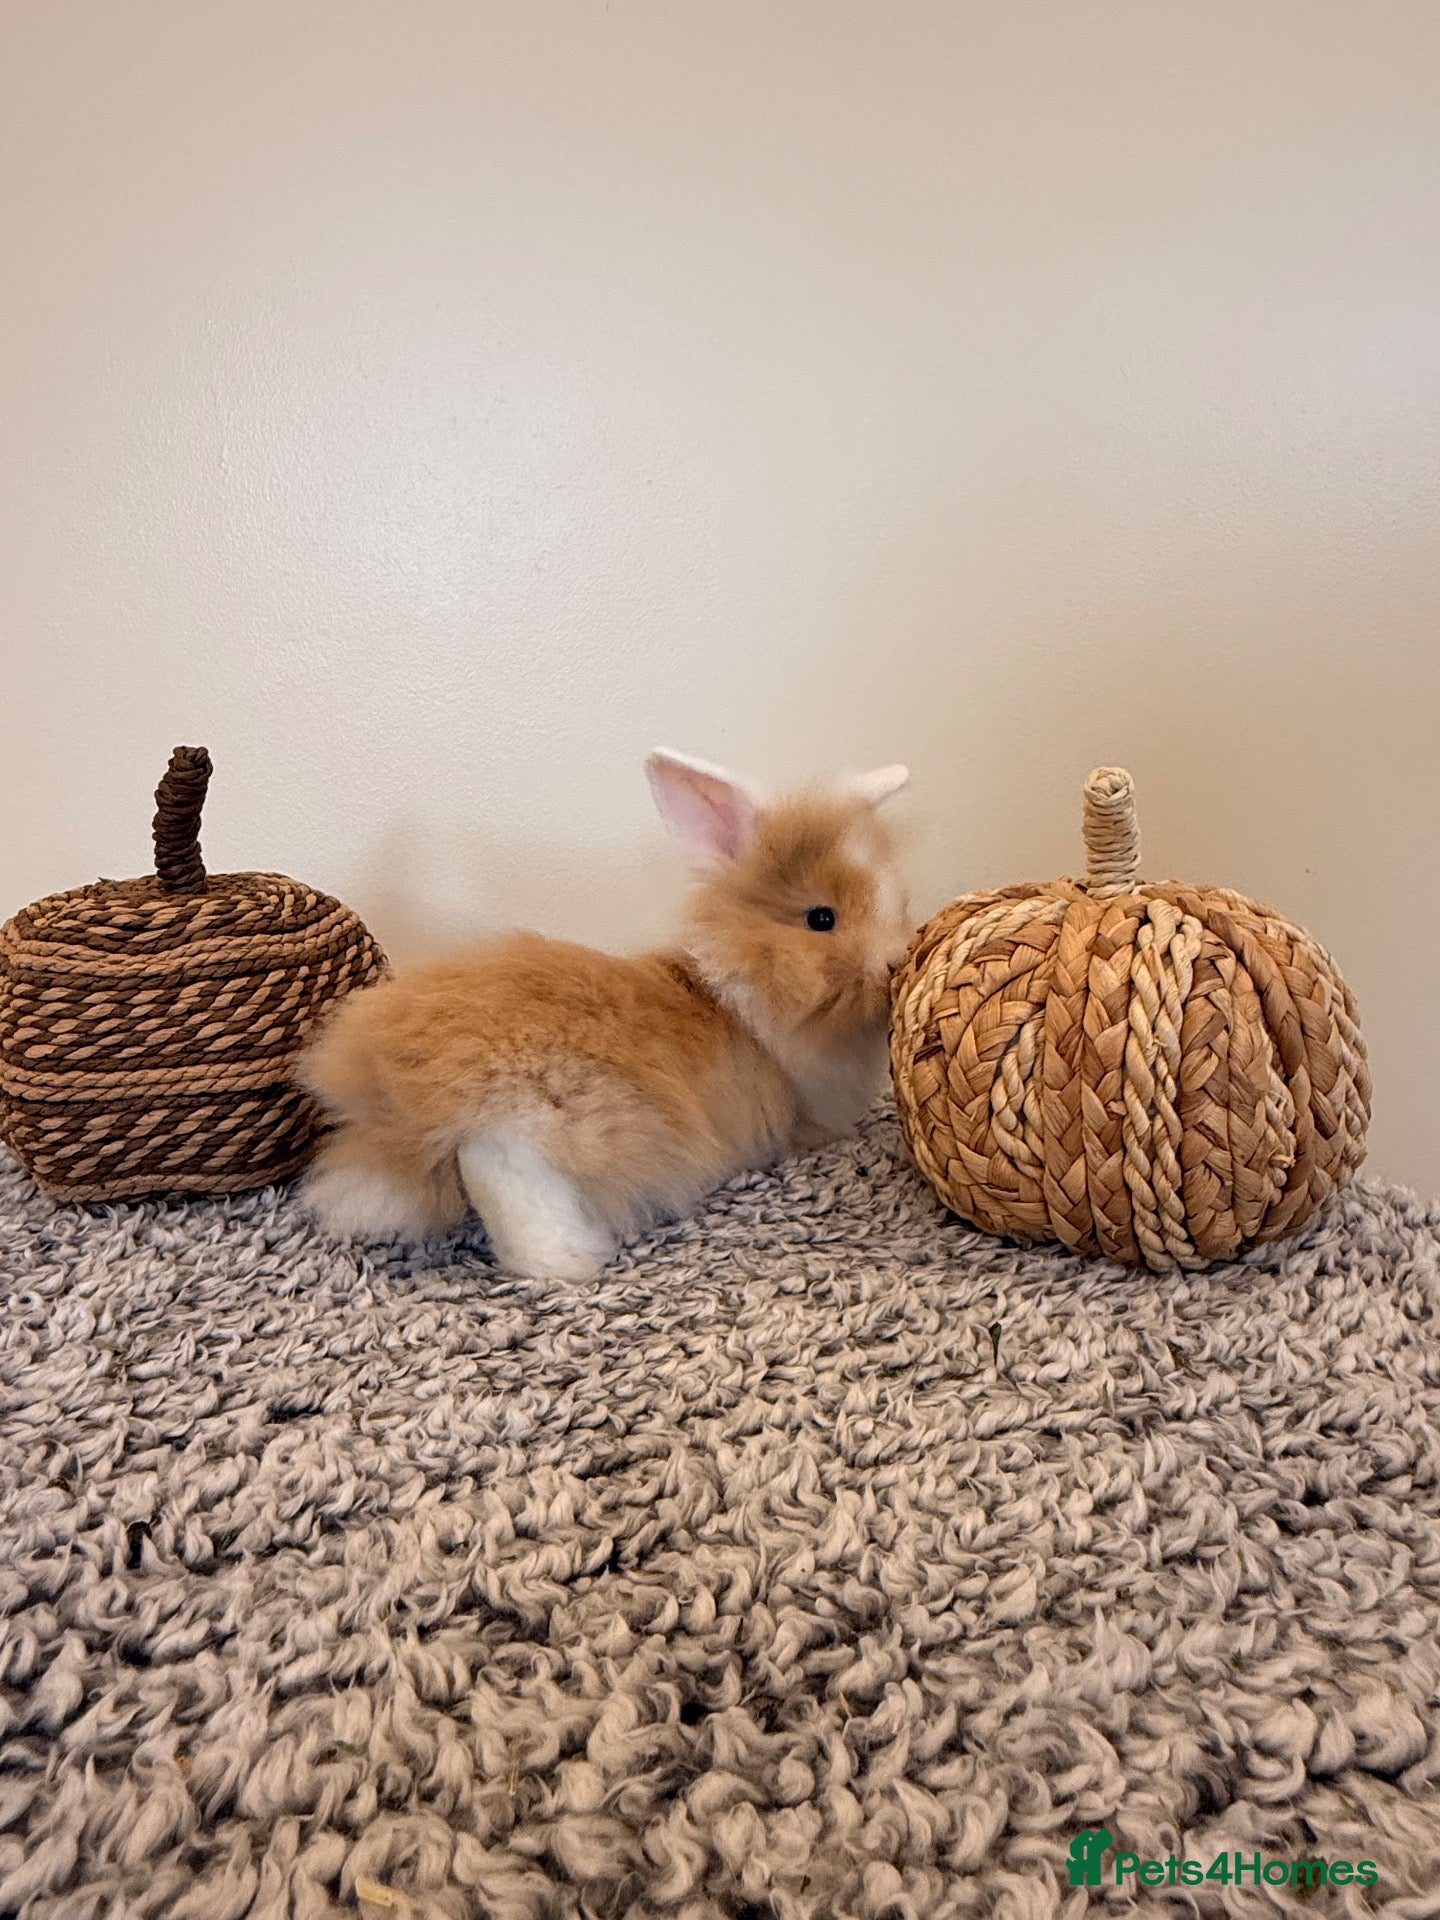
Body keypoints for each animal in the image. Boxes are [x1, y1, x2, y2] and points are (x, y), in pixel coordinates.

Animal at [296, 749, 912, 1280]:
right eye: (821, 918)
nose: (895, 961)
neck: (736, 989)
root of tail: (392, 1091)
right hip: (534, 1123)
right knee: (502, 1178)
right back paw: (573, 1263)